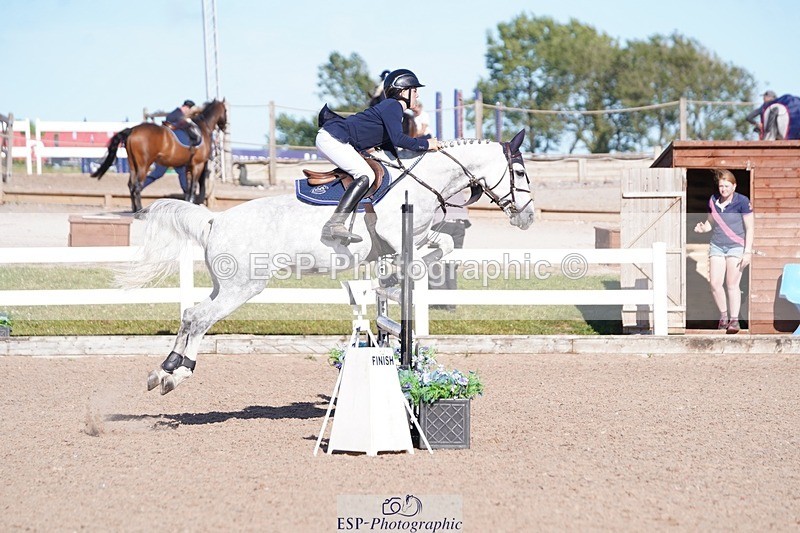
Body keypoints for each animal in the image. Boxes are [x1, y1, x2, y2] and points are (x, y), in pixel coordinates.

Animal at [91, 99, 228, 212]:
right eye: (226, 110)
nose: (225, 127)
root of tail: (132, 129)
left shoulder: (188, 166)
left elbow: (188, 187)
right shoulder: (197, 165)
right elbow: (193, 187)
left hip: (133, 164)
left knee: (131, 185)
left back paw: (134, 208)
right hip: (144, 165)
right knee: (137, 186)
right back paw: (139, 209)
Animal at [121, 130, 534, 395]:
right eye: (519, 172)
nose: (528, 217)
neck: (424, 179)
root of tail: (214, 220)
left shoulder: (414, 236)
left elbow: (443, 243)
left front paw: (394, 278)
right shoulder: (397, 234)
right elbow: (414, 262)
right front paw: (399, 277)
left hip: (224, 285)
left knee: (192, 313)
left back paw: (165, 371)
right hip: (243, 287)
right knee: (200, 319)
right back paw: (174, 375)